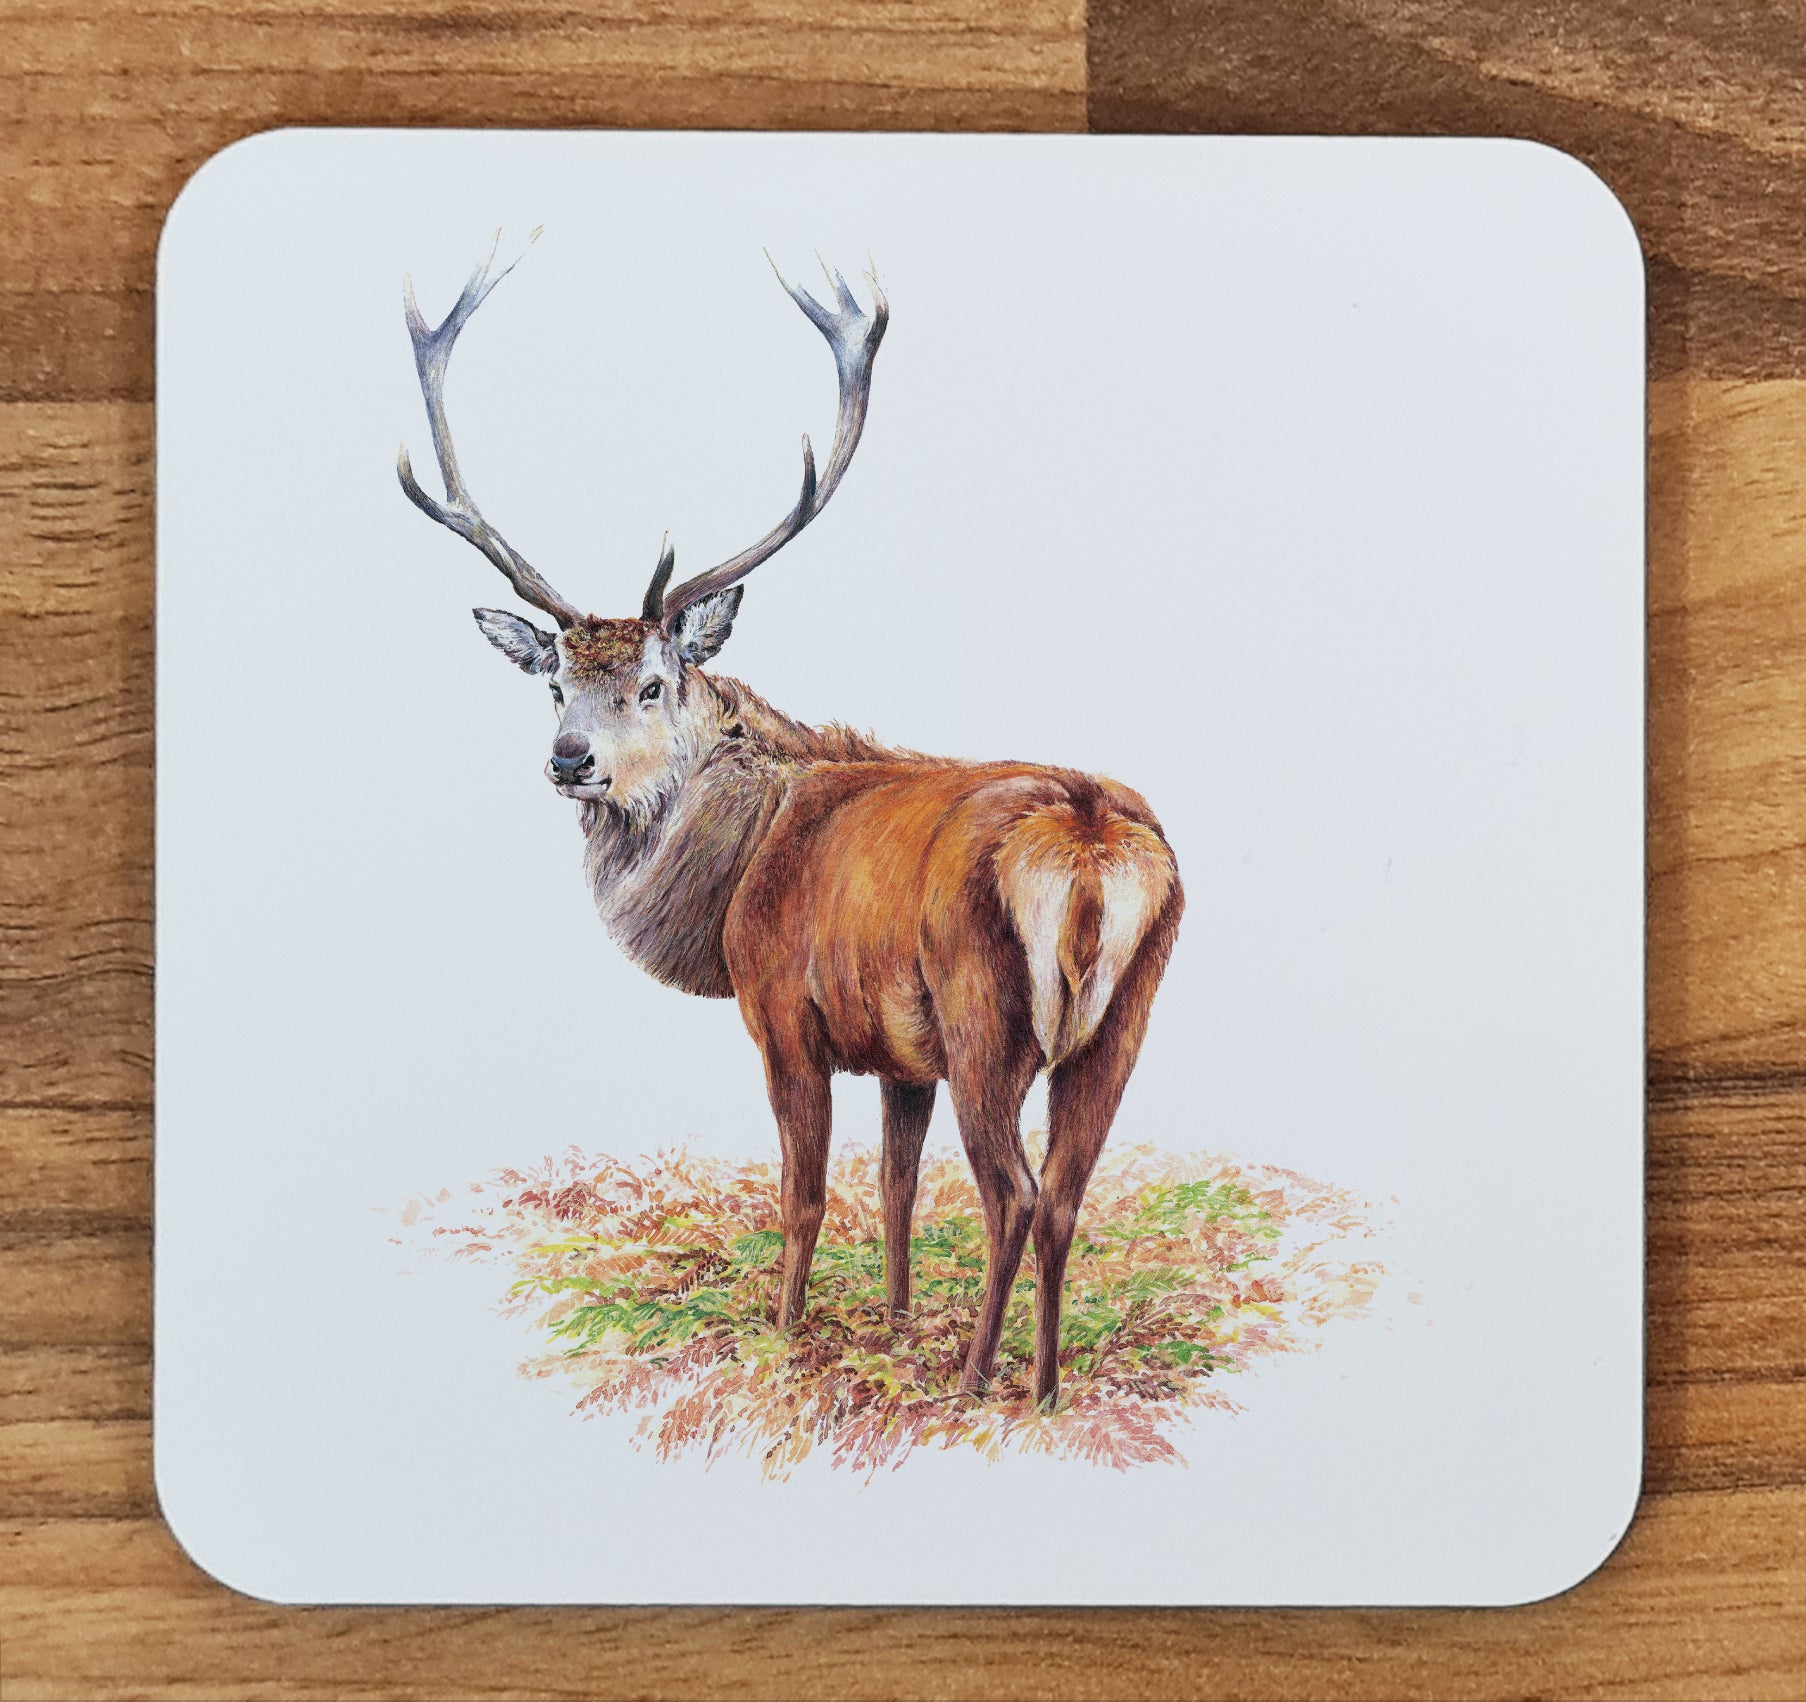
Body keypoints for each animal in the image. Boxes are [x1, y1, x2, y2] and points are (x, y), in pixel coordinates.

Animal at [398, 237, 1183, 1409]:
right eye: (554, 686)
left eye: (652, 683)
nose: (569, 760)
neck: (734, 872)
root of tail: (1089, 845)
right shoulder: (903, 1055)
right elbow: (897, 1189)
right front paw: (894, 1327)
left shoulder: (782, 1013)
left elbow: (805, 1194)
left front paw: (783, 1335)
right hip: (1122, 1021)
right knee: (1066, 1196)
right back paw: (1041, 1388)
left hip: (986, 1014)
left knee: (1012, 1193)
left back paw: (976, 1379)